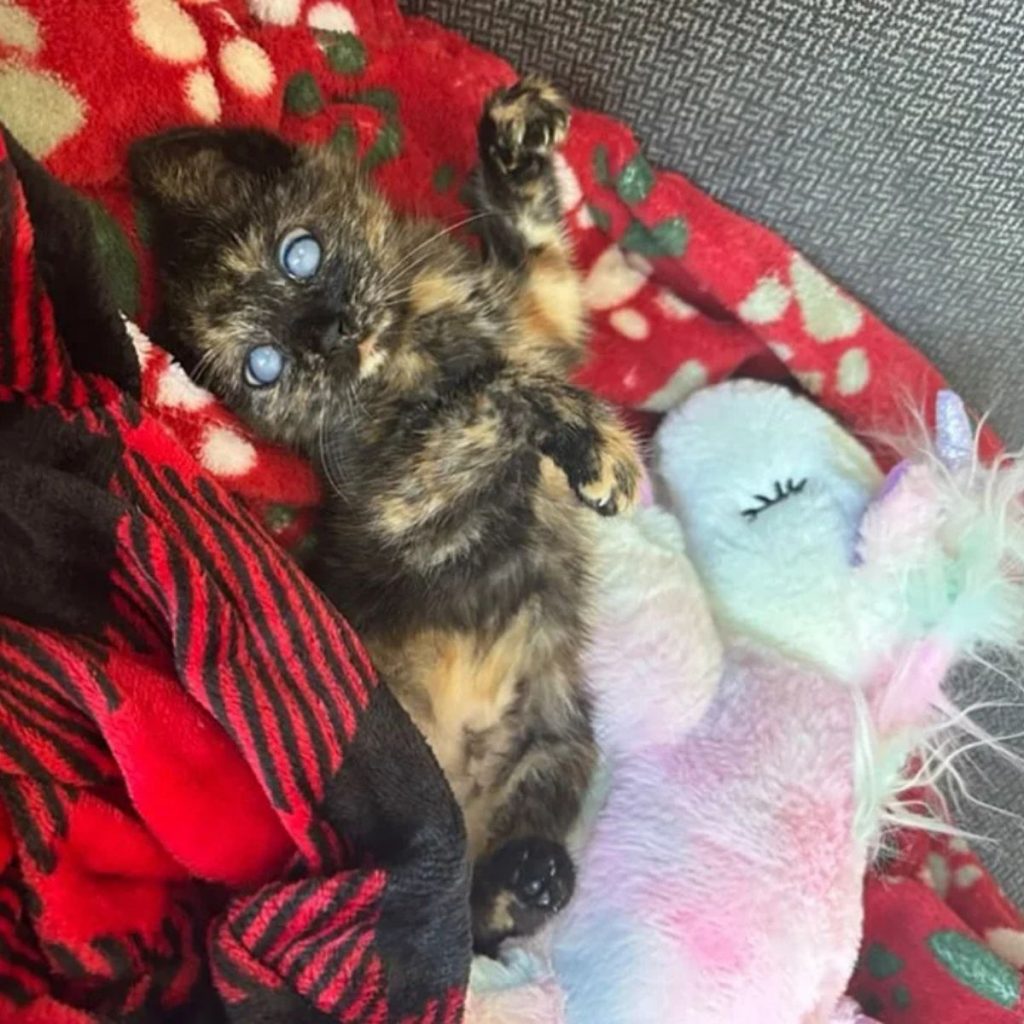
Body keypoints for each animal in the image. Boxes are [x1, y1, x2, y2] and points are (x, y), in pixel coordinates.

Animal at [130, 77, 638, 950]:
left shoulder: (541, 319)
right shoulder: (398, 506)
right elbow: (498, 395)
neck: (411, 338)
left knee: (489, 905)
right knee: (457, 926)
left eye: (300, 253)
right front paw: (598, 445)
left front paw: (515, 132)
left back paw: (528, 877)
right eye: (263, 367)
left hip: (557, 739)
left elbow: (539, 249)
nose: (331, 333)